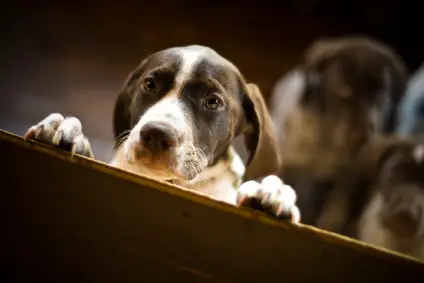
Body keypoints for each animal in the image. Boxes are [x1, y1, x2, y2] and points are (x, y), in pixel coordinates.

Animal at [268, 36, 408, 226]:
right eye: (344, 88)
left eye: (380, 94)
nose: (363, 139)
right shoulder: (289, 164)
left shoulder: (346, 176)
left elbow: (336, 205)